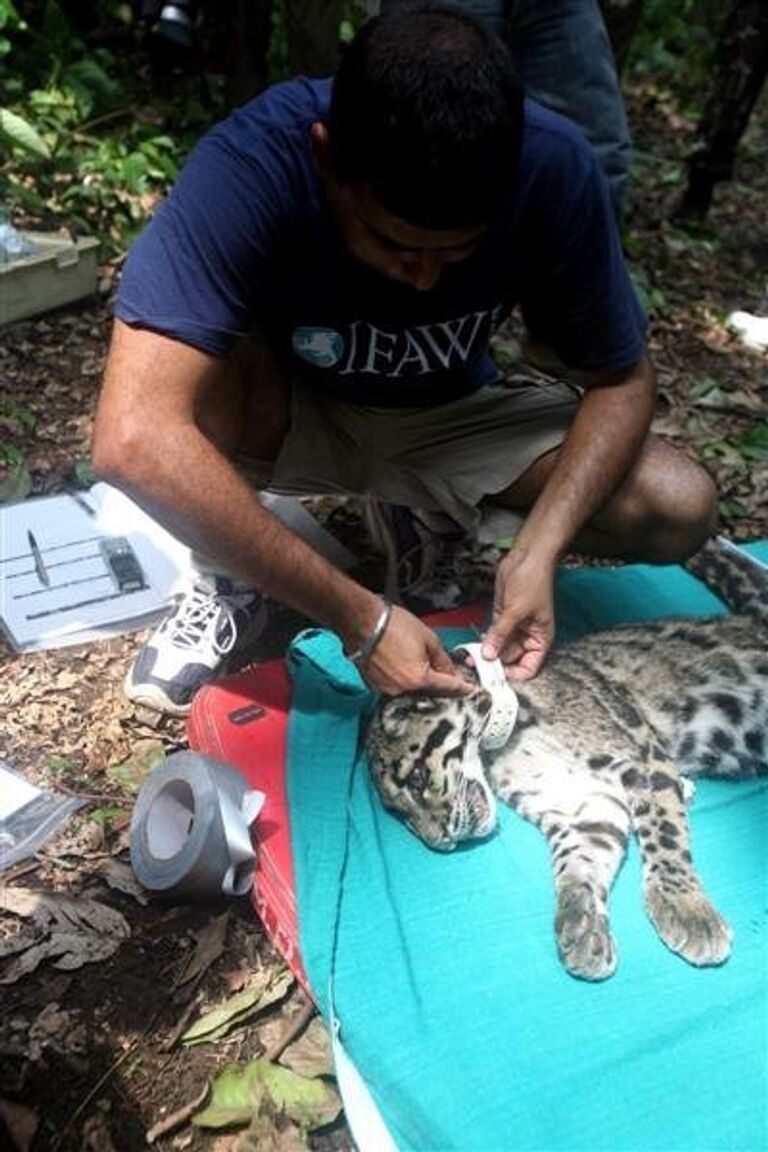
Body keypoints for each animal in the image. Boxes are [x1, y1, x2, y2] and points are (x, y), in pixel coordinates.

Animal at [366, 539, 768, 981]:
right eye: (401, 815)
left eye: (418, 778)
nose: (441, 843)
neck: (502, 744)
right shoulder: (580, 801)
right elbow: (579, 859)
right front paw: (581, 917)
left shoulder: (643, 757)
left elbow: (665, 834)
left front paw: (686, 907)